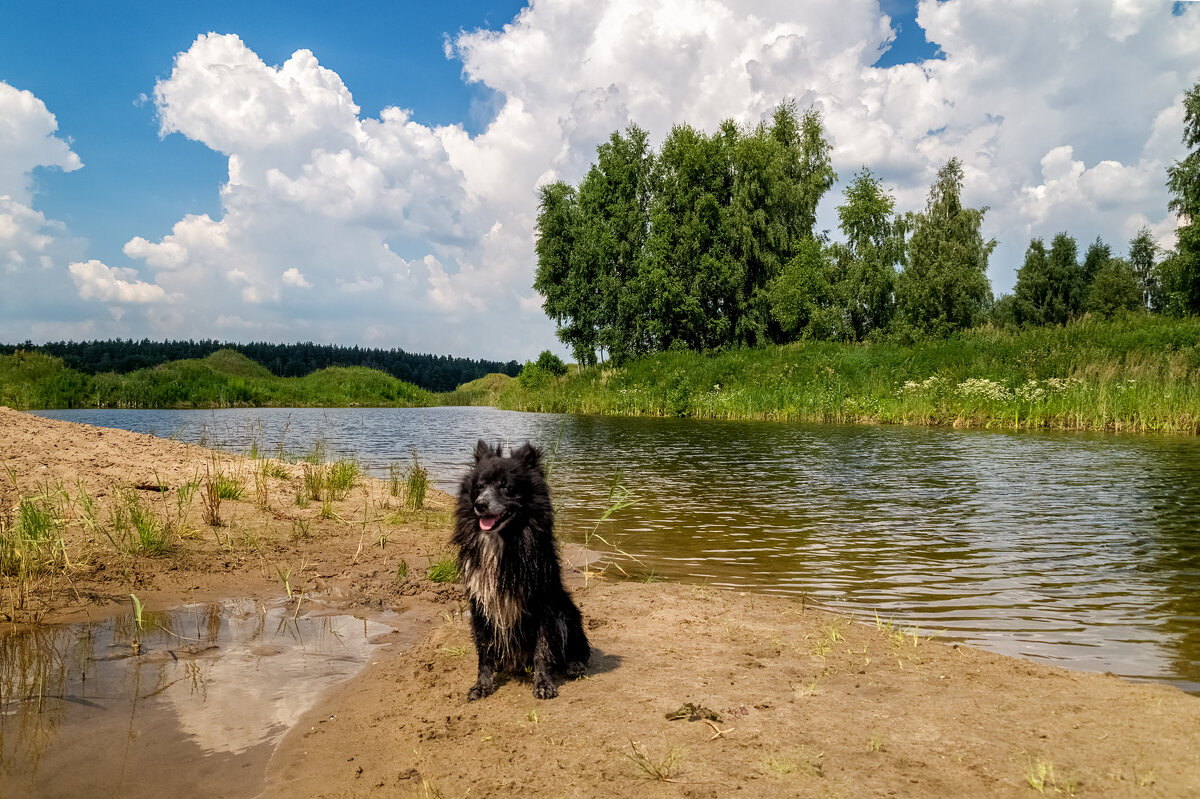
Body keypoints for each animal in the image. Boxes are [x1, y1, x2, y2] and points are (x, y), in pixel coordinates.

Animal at [451, 439, 590, 700]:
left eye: (507, 487)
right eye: (479, 486)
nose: (480, 504)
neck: (504, 540)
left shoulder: (543, 604)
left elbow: (542, 649)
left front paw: (544, 684)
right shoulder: (480, 603)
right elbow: (484, 651)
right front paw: (482, 685)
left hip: (567, 613)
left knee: (578, 648)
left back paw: (574, 665)